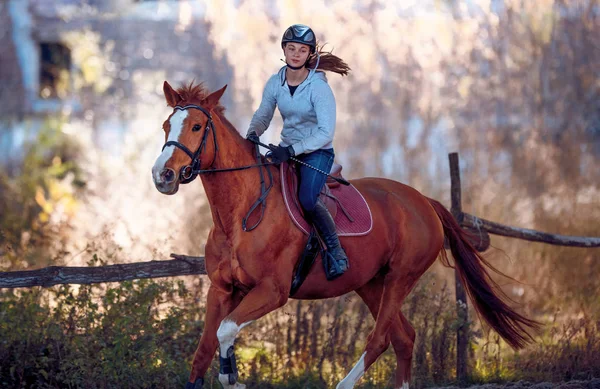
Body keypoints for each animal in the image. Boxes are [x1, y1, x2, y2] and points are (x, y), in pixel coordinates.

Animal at [151, 81, 540, 388]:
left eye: (197, 126)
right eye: (167, 125)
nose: (163, 175)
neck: (239, 215)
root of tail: (423, 201)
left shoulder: (272, 291)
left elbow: (226, 331)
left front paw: (232, 378)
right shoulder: (221, 290)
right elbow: (204, 350)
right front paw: (224, 372)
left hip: (400, 278)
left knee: (380, 340)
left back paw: (344, 383)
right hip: (370, 283)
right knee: (404, 338)